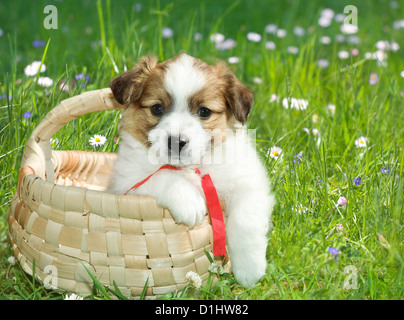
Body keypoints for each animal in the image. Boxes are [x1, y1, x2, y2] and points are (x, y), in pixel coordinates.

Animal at [107, 52, 274, 288]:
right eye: (157, 108)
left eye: (204, 112)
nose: (176, 141)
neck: (192, 167)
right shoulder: (125, 181)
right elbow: (163, 174)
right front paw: (189, 201)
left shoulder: (248, 182)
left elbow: (245, 220)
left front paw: (249, 270)